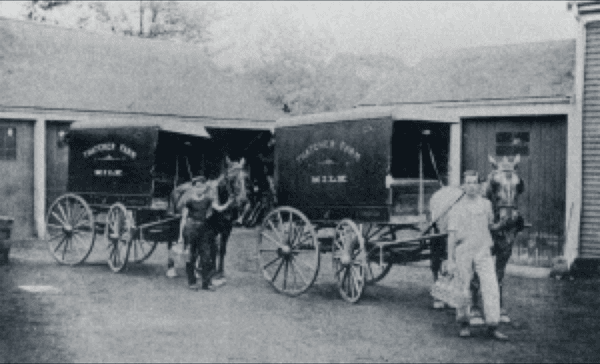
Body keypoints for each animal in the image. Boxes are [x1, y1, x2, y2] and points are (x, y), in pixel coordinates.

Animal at [428, 155, 524, 320]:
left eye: (519, 185)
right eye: (495, 183)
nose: (509, 219)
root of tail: (441, 189)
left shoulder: (505, 250)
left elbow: (499, 278)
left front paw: (501, 311)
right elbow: (474, 280)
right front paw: (475, 311)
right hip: (436, 239)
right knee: (435, 264)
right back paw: (437, 299)